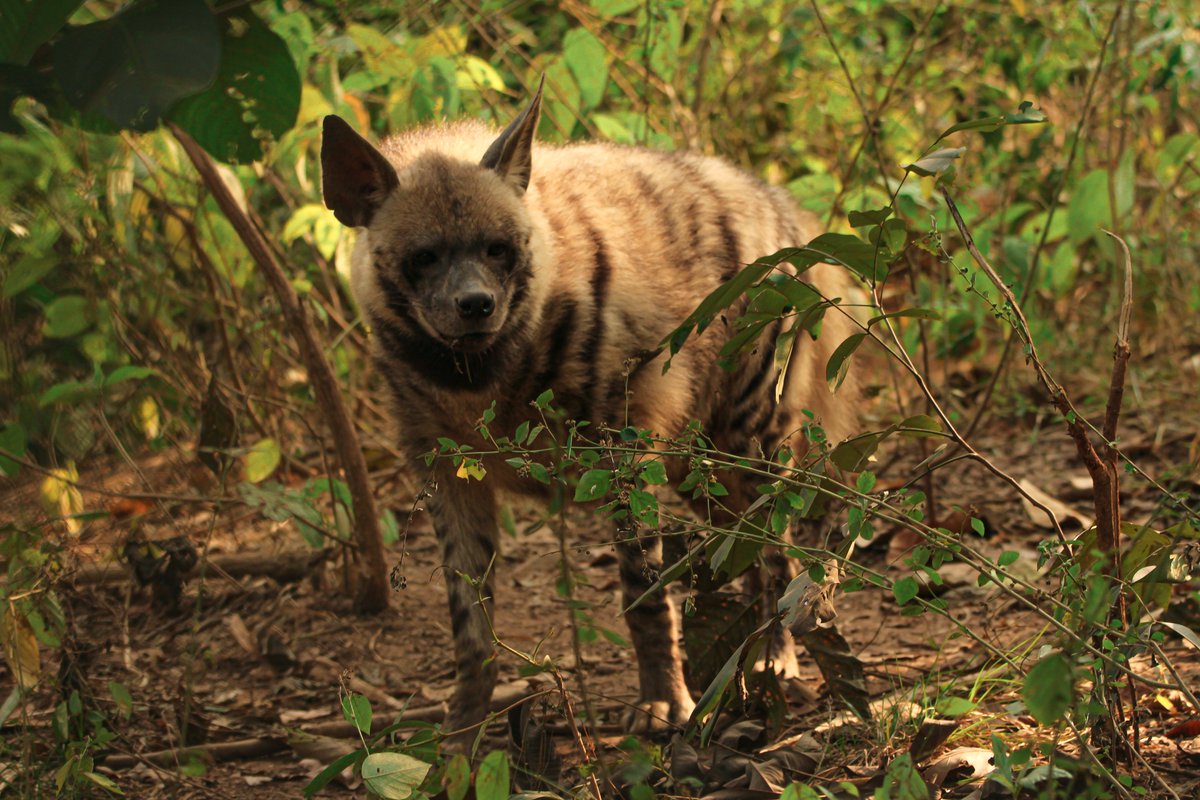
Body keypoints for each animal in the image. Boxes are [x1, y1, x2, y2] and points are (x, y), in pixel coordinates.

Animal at [320, 80, 861, 749]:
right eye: (423, 258)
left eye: (499, 250)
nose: (476, 304)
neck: (480, 379)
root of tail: (782, 208)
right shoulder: (445, 474)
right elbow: (470, 623)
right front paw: (460, 733)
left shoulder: (622, 452)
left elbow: (644, 593)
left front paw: (663, 705)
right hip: (695, 464)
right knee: (744, 538)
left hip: (744, 433)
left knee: (774, 540)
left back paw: (772, 658)